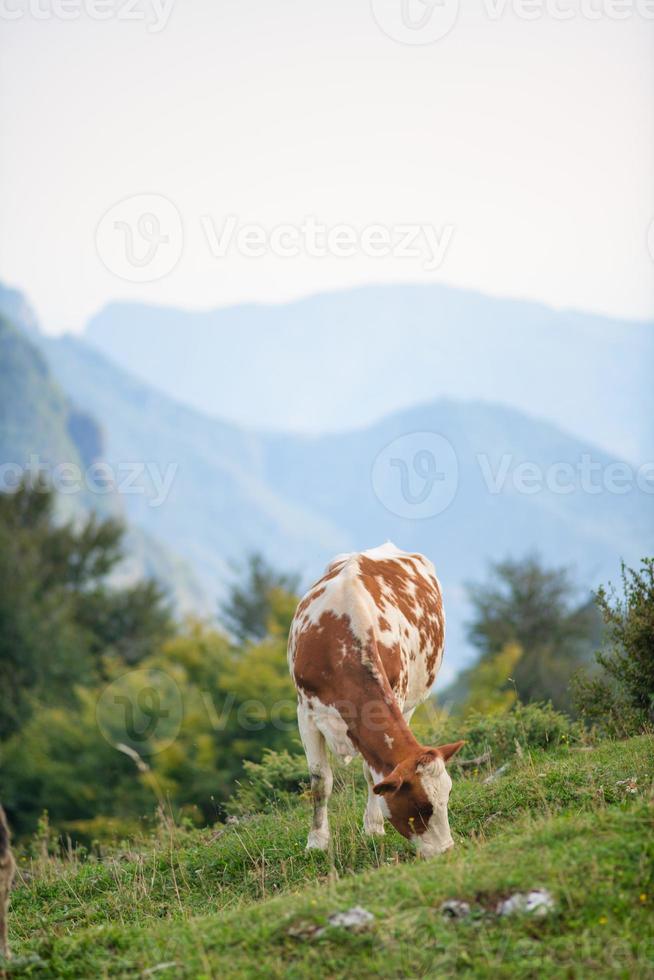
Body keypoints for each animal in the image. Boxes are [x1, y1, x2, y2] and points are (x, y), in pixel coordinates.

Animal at [290, 544, 464, 856]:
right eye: (422, 806)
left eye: (447, 796)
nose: (446, 850)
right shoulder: (306, 713)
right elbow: (320, 780)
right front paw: (317, 842)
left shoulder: (397, 695)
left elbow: (373, 777)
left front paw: (373, 828)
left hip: (409, 704)